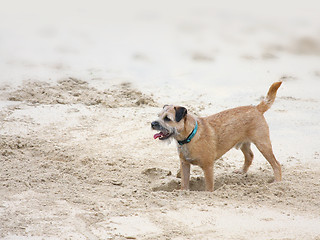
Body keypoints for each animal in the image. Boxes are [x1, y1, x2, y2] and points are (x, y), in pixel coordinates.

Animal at [151, 82, 282, 191]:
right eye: (159, 115)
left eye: (167, 118)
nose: (152, 123)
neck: (190, 136)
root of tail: (256, 108)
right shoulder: (184, 165)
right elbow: (184, 182)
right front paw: (184, 191)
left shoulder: (208, 167)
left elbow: (209, 186)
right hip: (244, 144)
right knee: (249, 156)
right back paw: (242, 172)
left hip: (263, 144)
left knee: (276, 164)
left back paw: (277, 182)